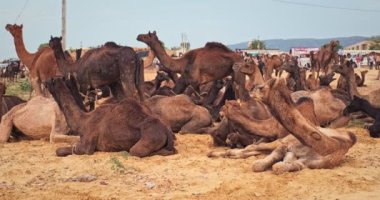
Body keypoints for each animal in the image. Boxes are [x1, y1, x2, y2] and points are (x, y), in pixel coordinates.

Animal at [47, 77, 177, 157]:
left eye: (52, 81)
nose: (45, 81)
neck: (82, 120)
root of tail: (166, 130)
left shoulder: (87, 146)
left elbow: (61, 150)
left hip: (149, 139)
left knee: (135, 151)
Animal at [209, 79, 358, 174]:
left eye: (261, 88)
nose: (251, 93)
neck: (327, 147)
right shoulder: (283, 143)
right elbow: (259, 157)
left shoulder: (308, 163)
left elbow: (277, 166)